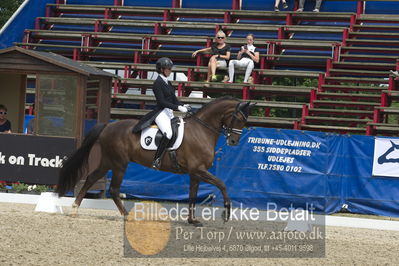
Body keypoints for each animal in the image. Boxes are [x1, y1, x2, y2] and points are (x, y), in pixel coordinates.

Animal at [56, 96, 255, 225]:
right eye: (238, 118)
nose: (234, 141)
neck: (202, 130)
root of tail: (108, 126)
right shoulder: (199, 169)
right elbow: (222, 184)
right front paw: (226, 213)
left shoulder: (195, 172)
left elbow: (192, 194)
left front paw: (192, 220)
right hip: (119, 164)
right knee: (113, 190)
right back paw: (127, 215)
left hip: (107, 162)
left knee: (90, 179)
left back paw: (74, 209)